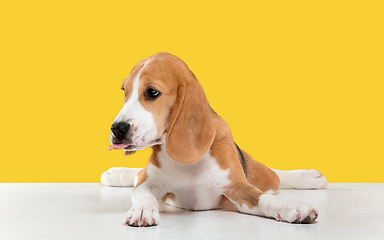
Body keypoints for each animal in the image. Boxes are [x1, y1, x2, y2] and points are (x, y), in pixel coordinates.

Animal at [101, 52, 328, 227]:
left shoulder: (237, 187)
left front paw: (291, 206)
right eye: (125, 91)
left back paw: (309, 177)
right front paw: (142, 209)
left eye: (152, 92)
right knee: (137, 174)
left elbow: (264, 199)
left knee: (276, 176)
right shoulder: (148, 183)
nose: (117, 129)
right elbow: (142, 193)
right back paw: (115, 174)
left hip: (264, 176)